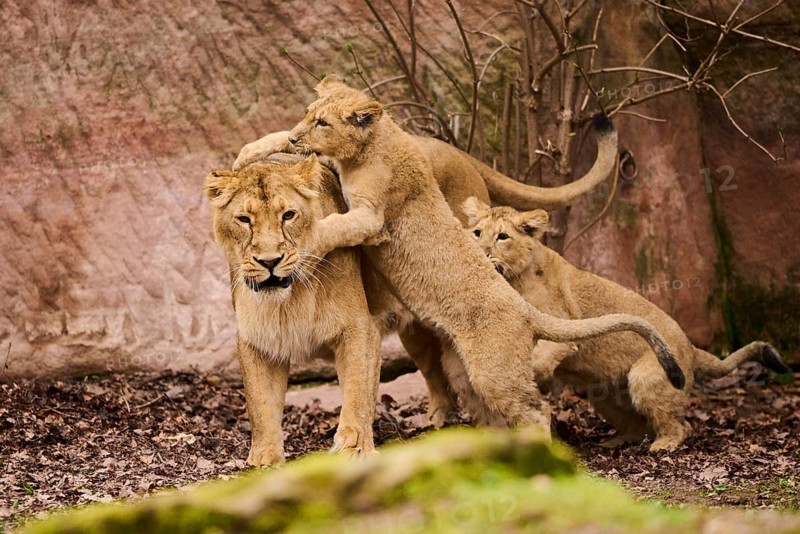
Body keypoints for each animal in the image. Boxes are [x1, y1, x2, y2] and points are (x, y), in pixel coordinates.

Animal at [204, 156, 383, 467]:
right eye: (244, 219)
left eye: (288, 215)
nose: (269, 261)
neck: (291, 298)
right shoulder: (255, 339)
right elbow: (260, 402)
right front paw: (264, 459)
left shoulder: (358, 327)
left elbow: (358, 388)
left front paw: (355, 447)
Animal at [274, 75, 684, 432]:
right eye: (308, 113)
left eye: (322, 122)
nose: (293, 136)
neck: (376, 143)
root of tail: (523, 309)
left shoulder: (373, 217)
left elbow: (334, 225)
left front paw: (304, 239)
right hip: (462, 368)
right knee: (484, 406)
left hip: (494, 369)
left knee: (538, 411)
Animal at [460, 197, 790, 450]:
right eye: (477, 232)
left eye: (503, 237)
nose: (481, 253)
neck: (515, 276)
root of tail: (691, 348)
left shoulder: (565, 326)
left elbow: (544, 356)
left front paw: (535, 377)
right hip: (604, 396)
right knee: (638, 425)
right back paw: (615, 441)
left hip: (648, 378)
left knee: (681, 426)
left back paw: (663, 445)